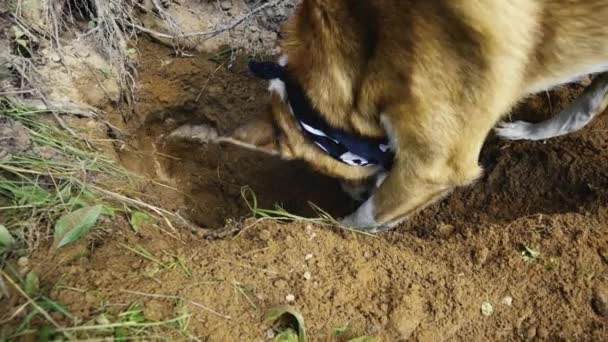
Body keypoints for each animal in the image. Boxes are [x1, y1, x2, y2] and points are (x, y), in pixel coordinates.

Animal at [207, 0, 608, 232]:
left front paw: (330, 227)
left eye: (339, 172)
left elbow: (363, 220)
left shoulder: (435, 167)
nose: (349, 194)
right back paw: (532, 131)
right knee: (593, 102)